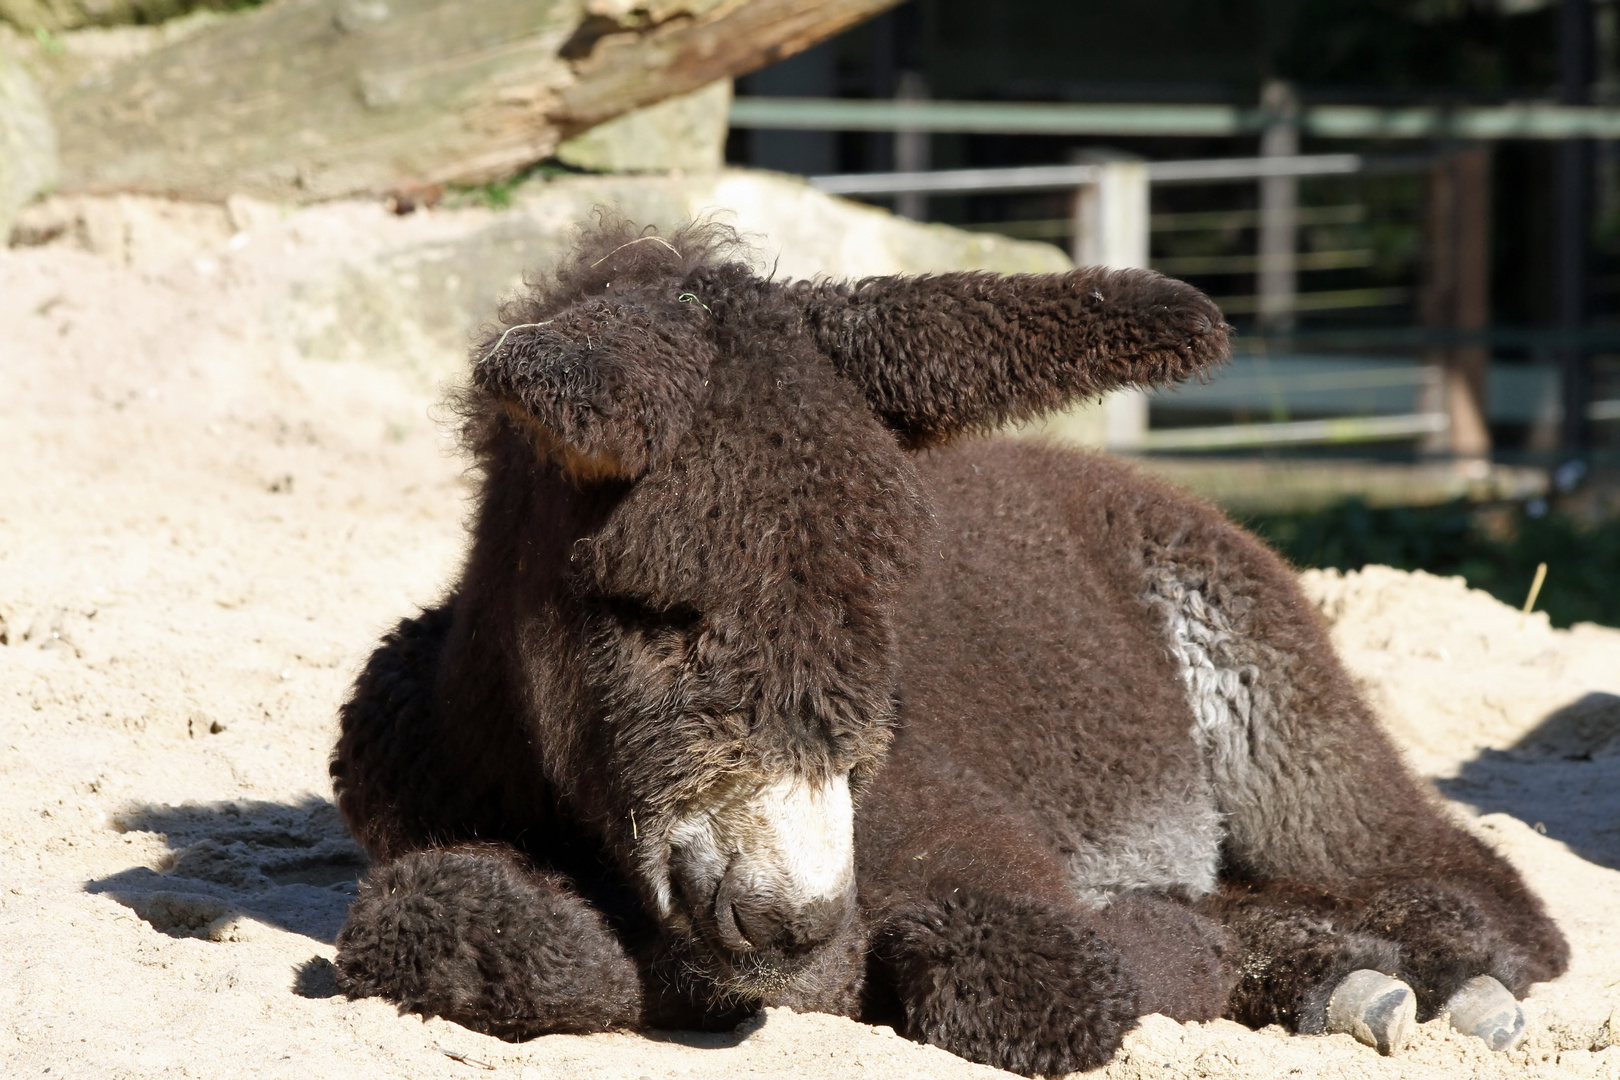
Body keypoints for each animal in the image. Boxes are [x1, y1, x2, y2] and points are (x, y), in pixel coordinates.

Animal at [332, 216, 1568, 1075]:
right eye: (654, 616)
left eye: (883, 616)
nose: (791, 922)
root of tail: (1117, 477)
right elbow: (457, 932)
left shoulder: (979, 860)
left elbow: (1058, 978)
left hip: (1270, 709)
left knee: (1475, 889)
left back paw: (1410, 963)